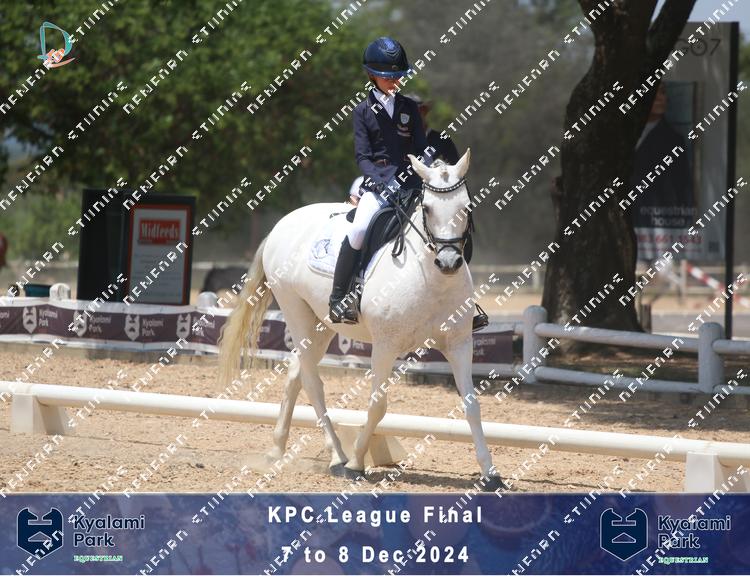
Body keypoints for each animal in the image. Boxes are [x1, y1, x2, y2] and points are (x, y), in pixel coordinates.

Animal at [218, 149, 504, 491]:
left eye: (466, 207)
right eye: (428, 208)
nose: (448, 263)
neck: (431, 279)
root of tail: (281, 225)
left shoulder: (459, 344)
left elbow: (472, 404)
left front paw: (490, 473)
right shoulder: (385, 346)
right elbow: (378, 405)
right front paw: (356, 463)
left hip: (322, 324)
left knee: (296, 373)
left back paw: (278, 449)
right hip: (295, 311)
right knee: (312, 382)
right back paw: (338, 458)